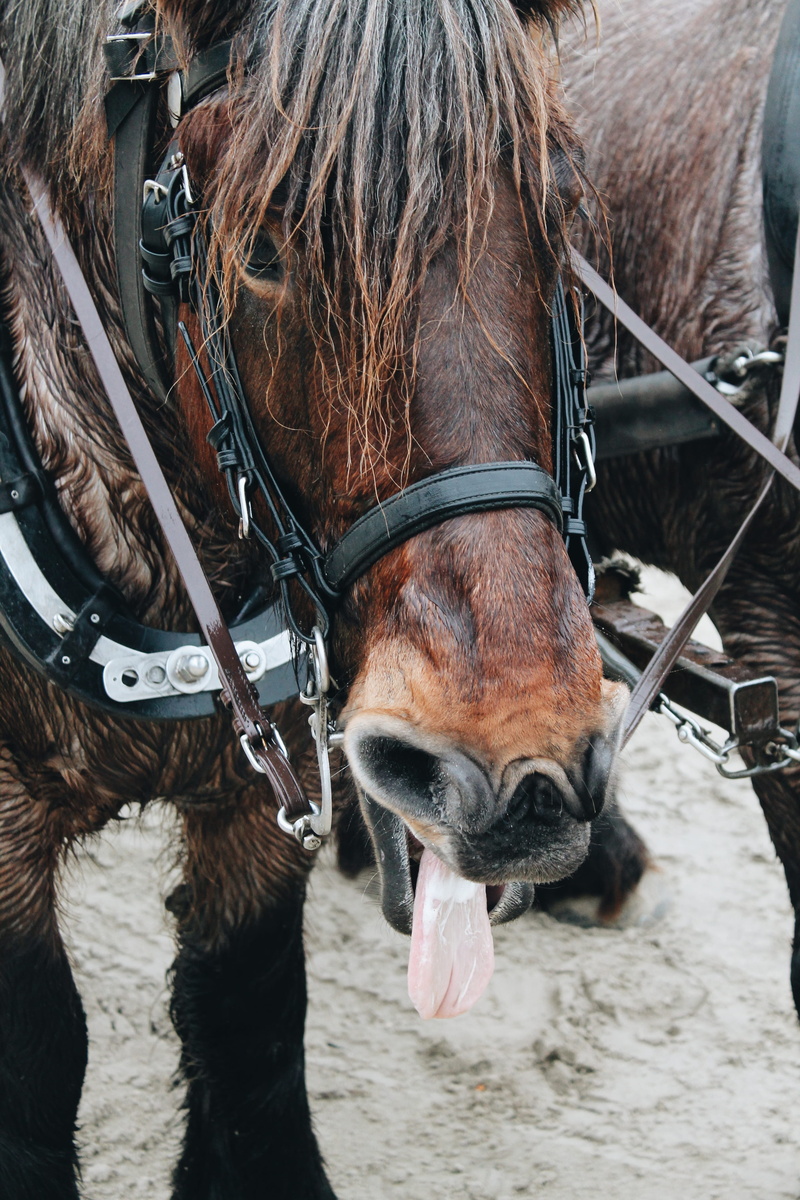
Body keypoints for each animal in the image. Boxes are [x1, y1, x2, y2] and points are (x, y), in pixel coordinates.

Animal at [0, 1, 639, 1196]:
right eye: (259, 249)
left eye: (563, 213)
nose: (520, 770)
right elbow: (39, 1059)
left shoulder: (264, 807)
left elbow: (249, 1030)